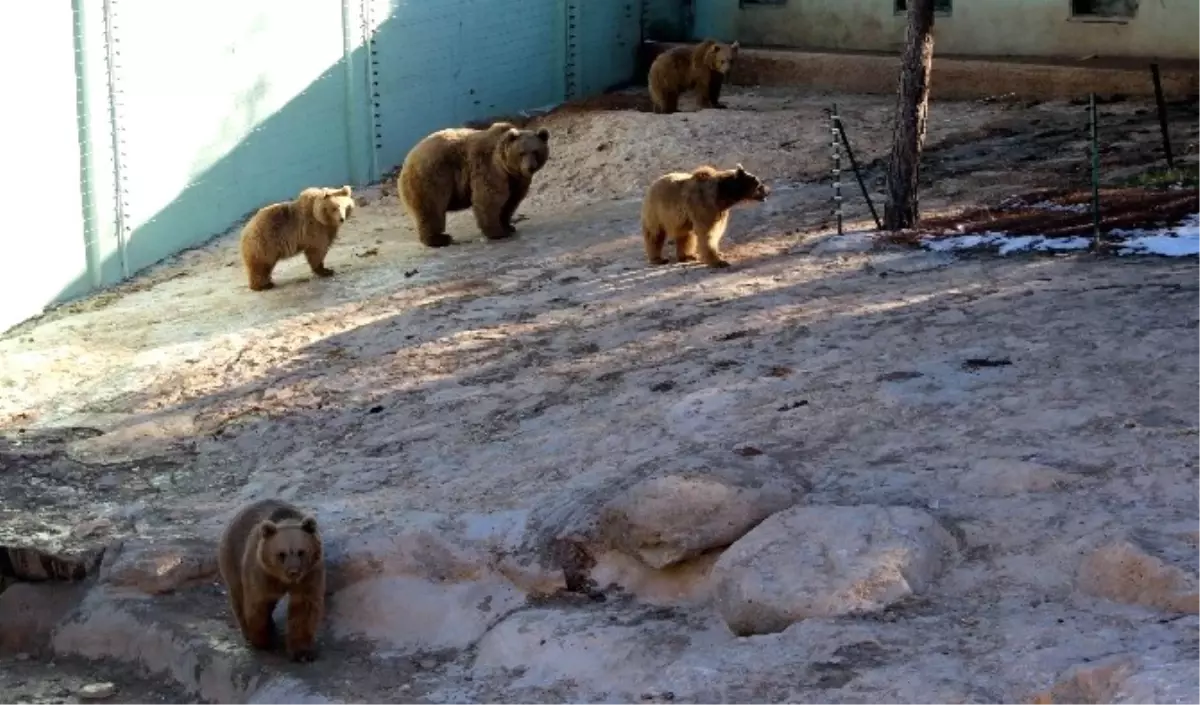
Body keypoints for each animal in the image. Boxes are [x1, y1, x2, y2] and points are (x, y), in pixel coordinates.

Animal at [218, 496, 326, 661]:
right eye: (281, 554)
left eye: (301, 552)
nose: (293, 571)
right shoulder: (261, 572)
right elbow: (258, 604)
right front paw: (262, 640)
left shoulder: (309, 574)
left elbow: (304, 607)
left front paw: (302, 652)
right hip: (232, 558)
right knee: (238, 596)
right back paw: (248, 632)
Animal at [400, 122, 554, 249]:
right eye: (522, 153)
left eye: (536, 151)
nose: (530, 167)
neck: (506, 167)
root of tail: (407, 161)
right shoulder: (489, 168)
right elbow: (489, 198)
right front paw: (498, 232)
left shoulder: (516, 180)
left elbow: (511, 201)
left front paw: (508, 226)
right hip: (432, 177)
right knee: (431, 208)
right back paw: (440, 239)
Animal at [638, 164, 768, 268]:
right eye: (759, 184)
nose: (767, 191)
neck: (723, 194)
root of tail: (652, 184)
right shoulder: (705, 205)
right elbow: (708, 233)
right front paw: (719, 261)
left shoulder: (718, 211)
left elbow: (715, 231)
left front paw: (718, 254)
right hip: (657, 211)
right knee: (655, 234)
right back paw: (658, 259)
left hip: (680, 219)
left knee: (685, 235)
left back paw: (688, 256)